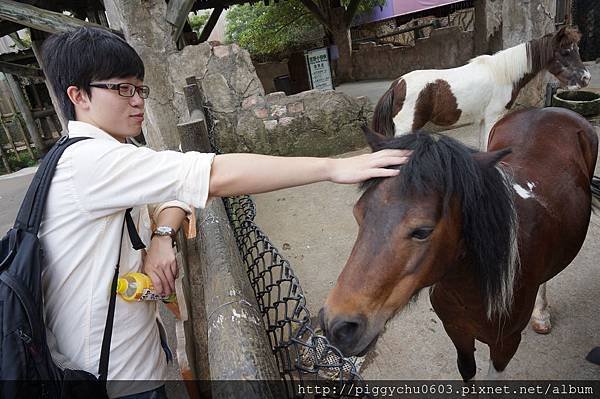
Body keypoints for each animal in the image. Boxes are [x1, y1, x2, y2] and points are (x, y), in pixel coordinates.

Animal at [318, 107, 596, 382]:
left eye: (422, 231)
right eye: (358, 213)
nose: (337, 327)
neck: (473, 289)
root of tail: (550, 109)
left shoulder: (505, 345)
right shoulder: (456, 331)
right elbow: (467, 371)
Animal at [372, 26, 588, 150]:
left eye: (577, 50)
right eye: (566, 52)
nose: (586, 78)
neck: (502, 74)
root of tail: (396, 86)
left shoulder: (484, 119)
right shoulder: (493, 117)